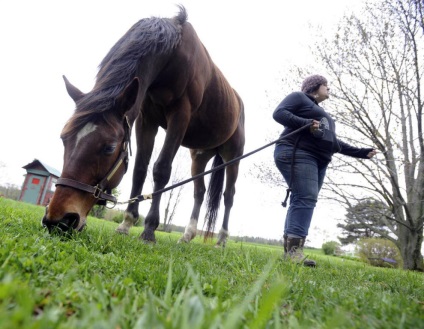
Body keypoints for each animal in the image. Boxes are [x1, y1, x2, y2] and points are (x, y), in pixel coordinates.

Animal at [41, 5, 247, 246]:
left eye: (109, 147)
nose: (58, 220)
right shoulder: (146, 119)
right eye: (64, 139)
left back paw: (221, 240)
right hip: (199, 156)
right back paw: (187, 236)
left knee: (228, 195)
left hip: (233, 155)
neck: (172, 55)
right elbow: (140, 169)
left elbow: (161, 169)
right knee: (199, 192)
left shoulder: (180, 116)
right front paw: (127, 223)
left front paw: (149, 229)